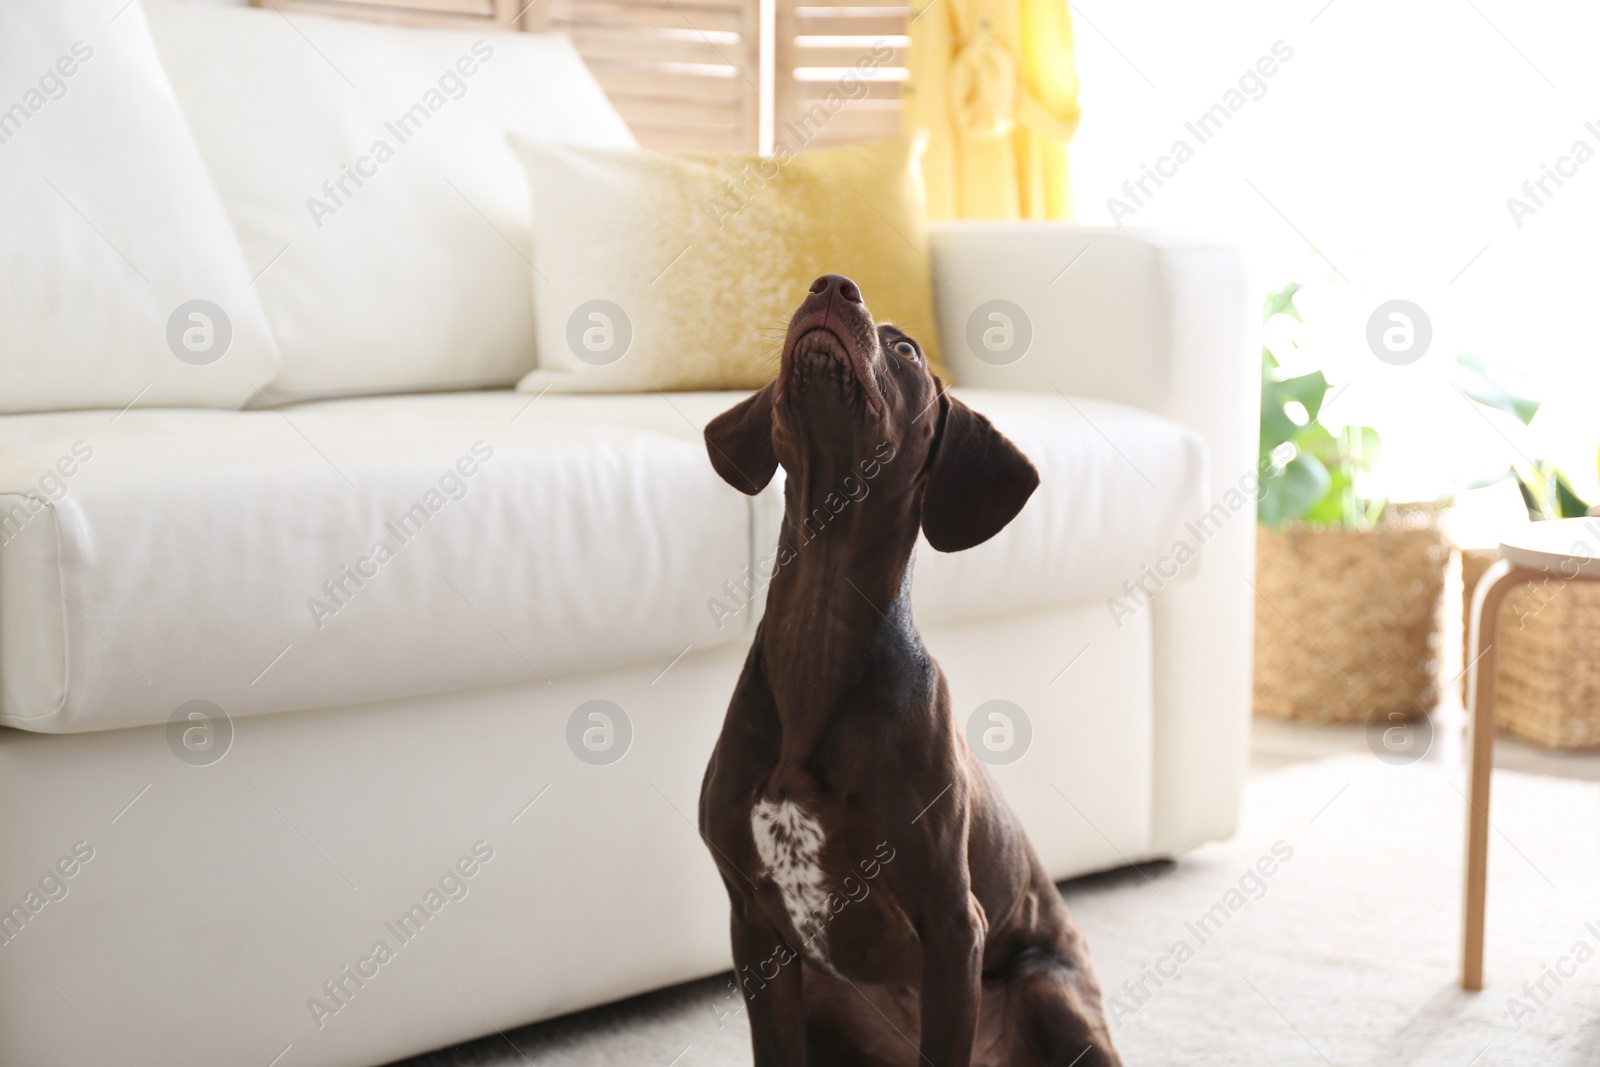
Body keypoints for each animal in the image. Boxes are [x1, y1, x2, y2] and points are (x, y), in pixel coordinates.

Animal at [700, 278, 1126, 1067]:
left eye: (906, 350)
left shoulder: (953, 926)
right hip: (829, 999)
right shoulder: (755, 929)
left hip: (1048, 992)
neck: (817, 634)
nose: (831, 286)